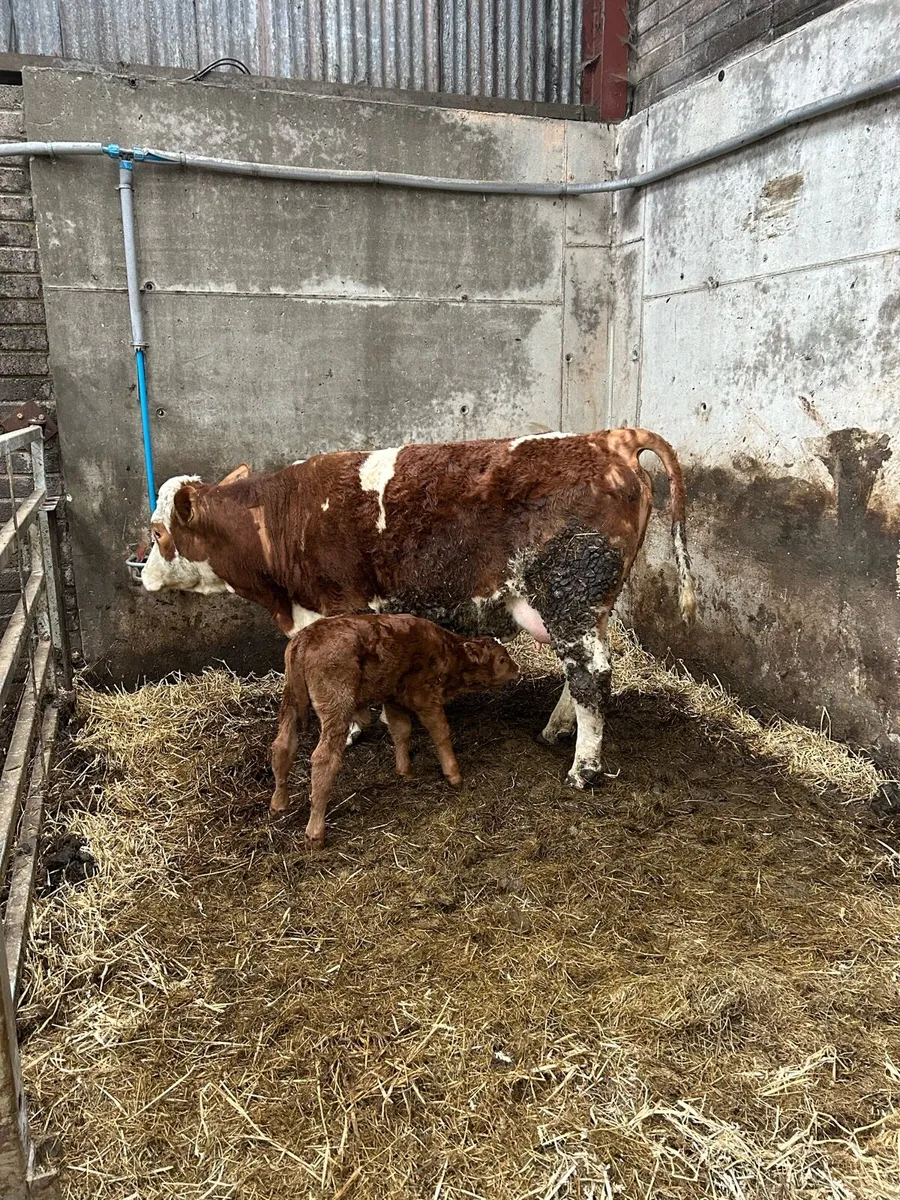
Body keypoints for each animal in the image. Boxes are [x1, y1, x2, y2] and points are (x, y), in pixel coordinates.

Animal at [141, 427, 695, 789]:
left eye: (158, 531)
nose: (142, 574)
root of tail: (609, 437)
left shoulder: (337, 608)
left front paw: (354, 730)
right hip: (583, 604)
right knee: (583, 670)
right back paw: (556, 731)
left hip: (571, 592)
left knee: (590, 675)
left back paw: (584, 769)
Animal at [271, 613, 519, 846]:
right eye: (501, 659)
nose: (517, 669)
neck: (447, 651)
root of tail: (305, 637)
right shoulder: (426, 697)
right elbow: (440, 732)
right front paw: (454, 775)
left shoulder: (393, 698)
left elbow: (401, 730)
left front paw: (404, 771)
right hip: (336, 706)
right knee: (323, 758)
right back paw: (315, 832)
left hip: (290, 702)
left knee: (283, 746)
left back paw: (279, 802)